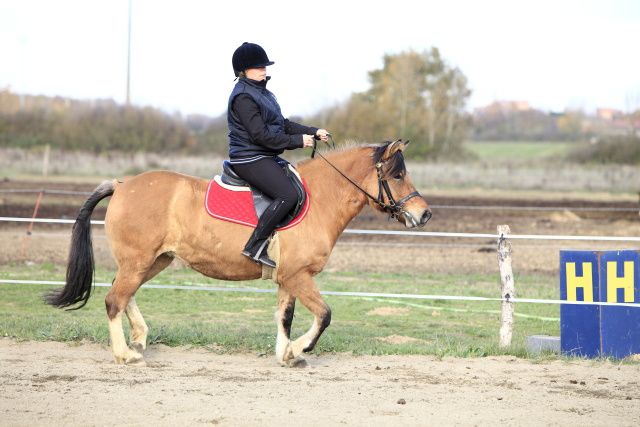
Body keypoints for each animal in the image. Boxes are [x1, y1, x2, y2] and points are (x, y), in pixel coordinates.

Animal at [46, 140, 430, 368]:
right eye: (397, 174)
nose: (424, 214)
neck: (320, 198)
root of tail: (122, 185)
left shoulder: (288, 279)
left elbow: (284, 317)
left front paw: (285, 354)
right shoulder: (299, 276)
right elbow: (324, 315)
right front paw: (298, 350)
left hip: (153, 261)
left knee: (123, 294)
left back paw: (139, 339)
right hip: (139, 261)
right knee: (114, 299)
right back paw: (125, 353)